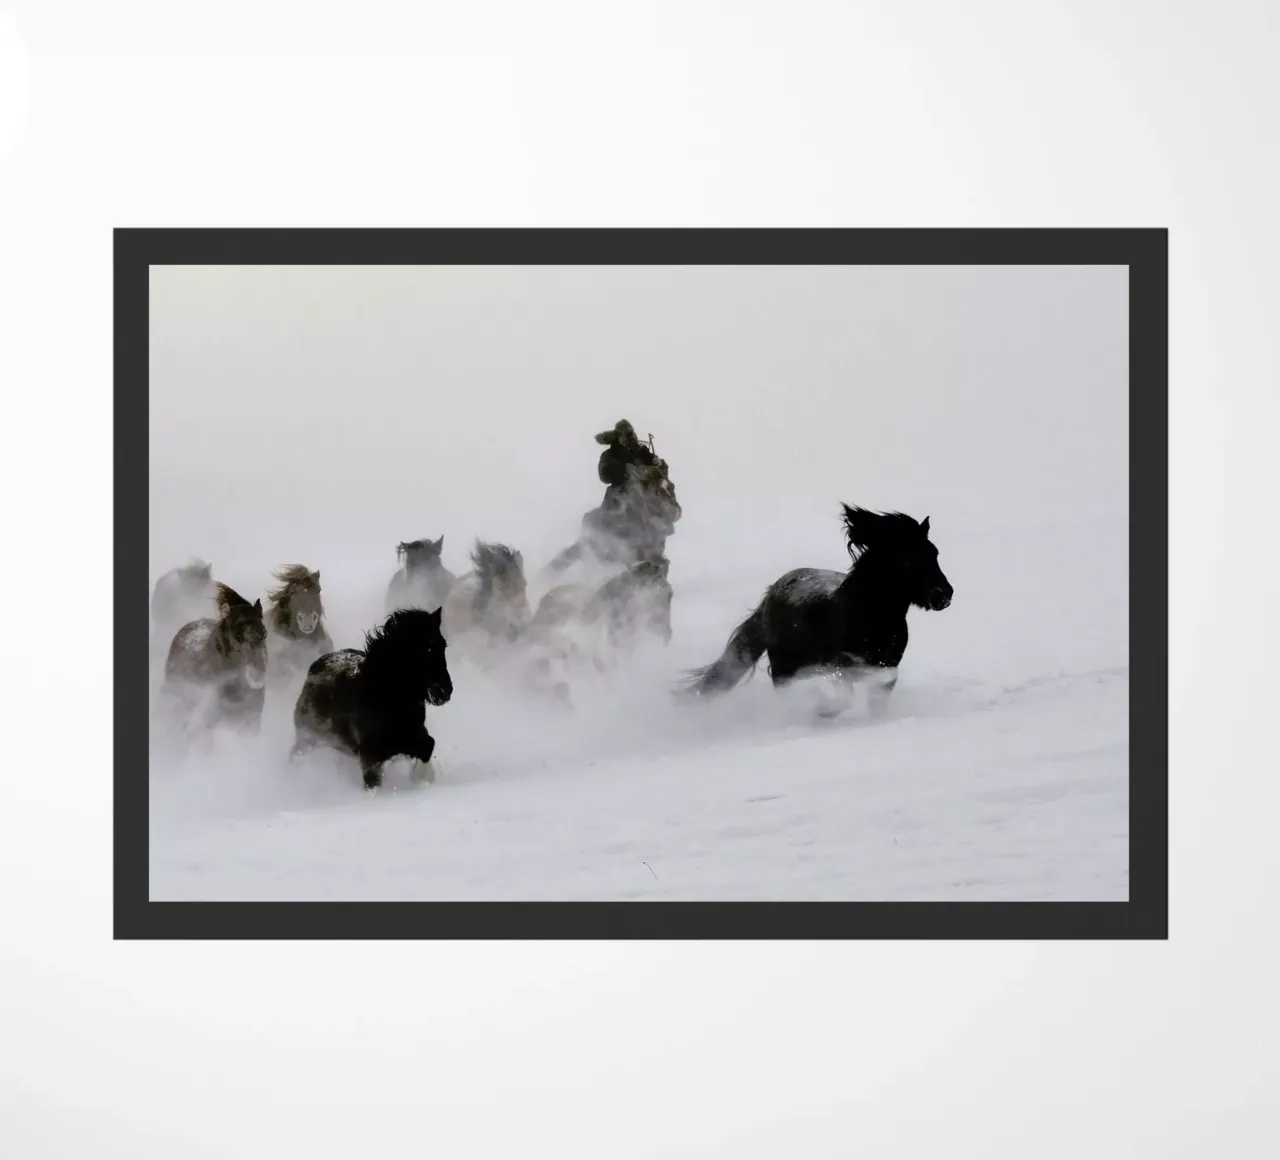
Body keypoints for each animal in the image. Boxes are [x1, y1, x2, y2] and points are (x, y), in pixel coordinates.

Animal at [290, 607, 454, 791]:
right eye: (425, 649)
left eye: (443, 645)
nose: (445, 691)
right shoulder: (371, 757)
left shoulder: (412, 738)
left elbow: (428, 747)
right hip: (309, 737)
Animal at [682, 506, 953, 716]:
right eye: (907, 561)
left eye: (935, 553)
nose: (944, 595)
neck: (866, 616)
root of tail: (772, 592)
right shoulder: (839, 667)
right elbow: (843, 699)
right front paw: (821, 710)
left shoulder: (886, 669)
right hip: (783, 667)